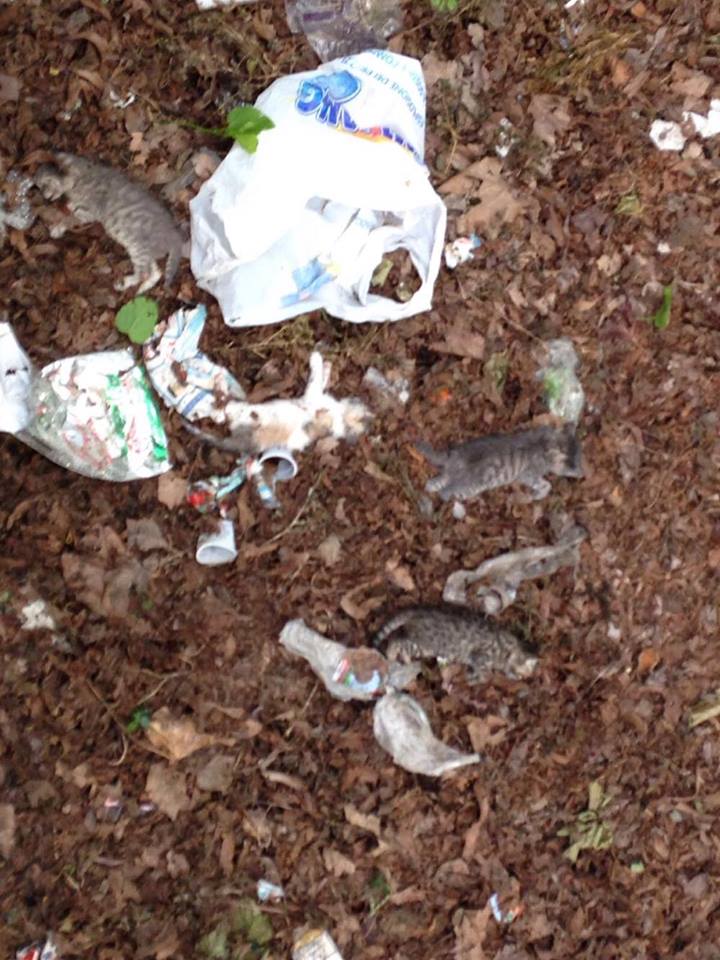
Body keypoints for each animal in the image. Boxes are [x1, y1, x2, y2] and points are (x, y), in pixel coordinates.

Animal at [34, 152, 184, 294]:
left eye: (45, 184)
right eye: (39, 187)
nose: (45, 198)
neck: (82, 174)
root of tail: (175, 236)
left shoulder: (88, 212)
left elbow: (69, 218)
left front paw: (57, 228)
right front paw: (70, 206)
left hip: (138, 247)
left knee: (143, 272)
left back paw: (124, 283)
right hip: (144, 251)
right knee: (156, 271)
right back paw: (142, 288)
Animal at [373, 604, 538, 681]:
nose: (522, 679)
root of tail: (418, 612)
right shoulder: (478, 655)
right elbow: (483, 672)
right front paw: (479, 678)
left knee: (398, 639)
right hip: (424, 644)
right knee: (396, 641)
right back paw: (392, 657)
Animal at [417, 423, 582, 502]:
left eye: (581, 458)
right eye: (572, 466)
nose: (583, 474)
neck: (545, 444)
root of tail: (455, 456)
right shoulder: (528, 475)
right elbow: (547, 485)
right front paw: (537, 495)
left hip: (449, 474)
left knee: (435, 482)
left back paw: (430, 487)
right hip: (468, 487)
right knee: (445, 492)